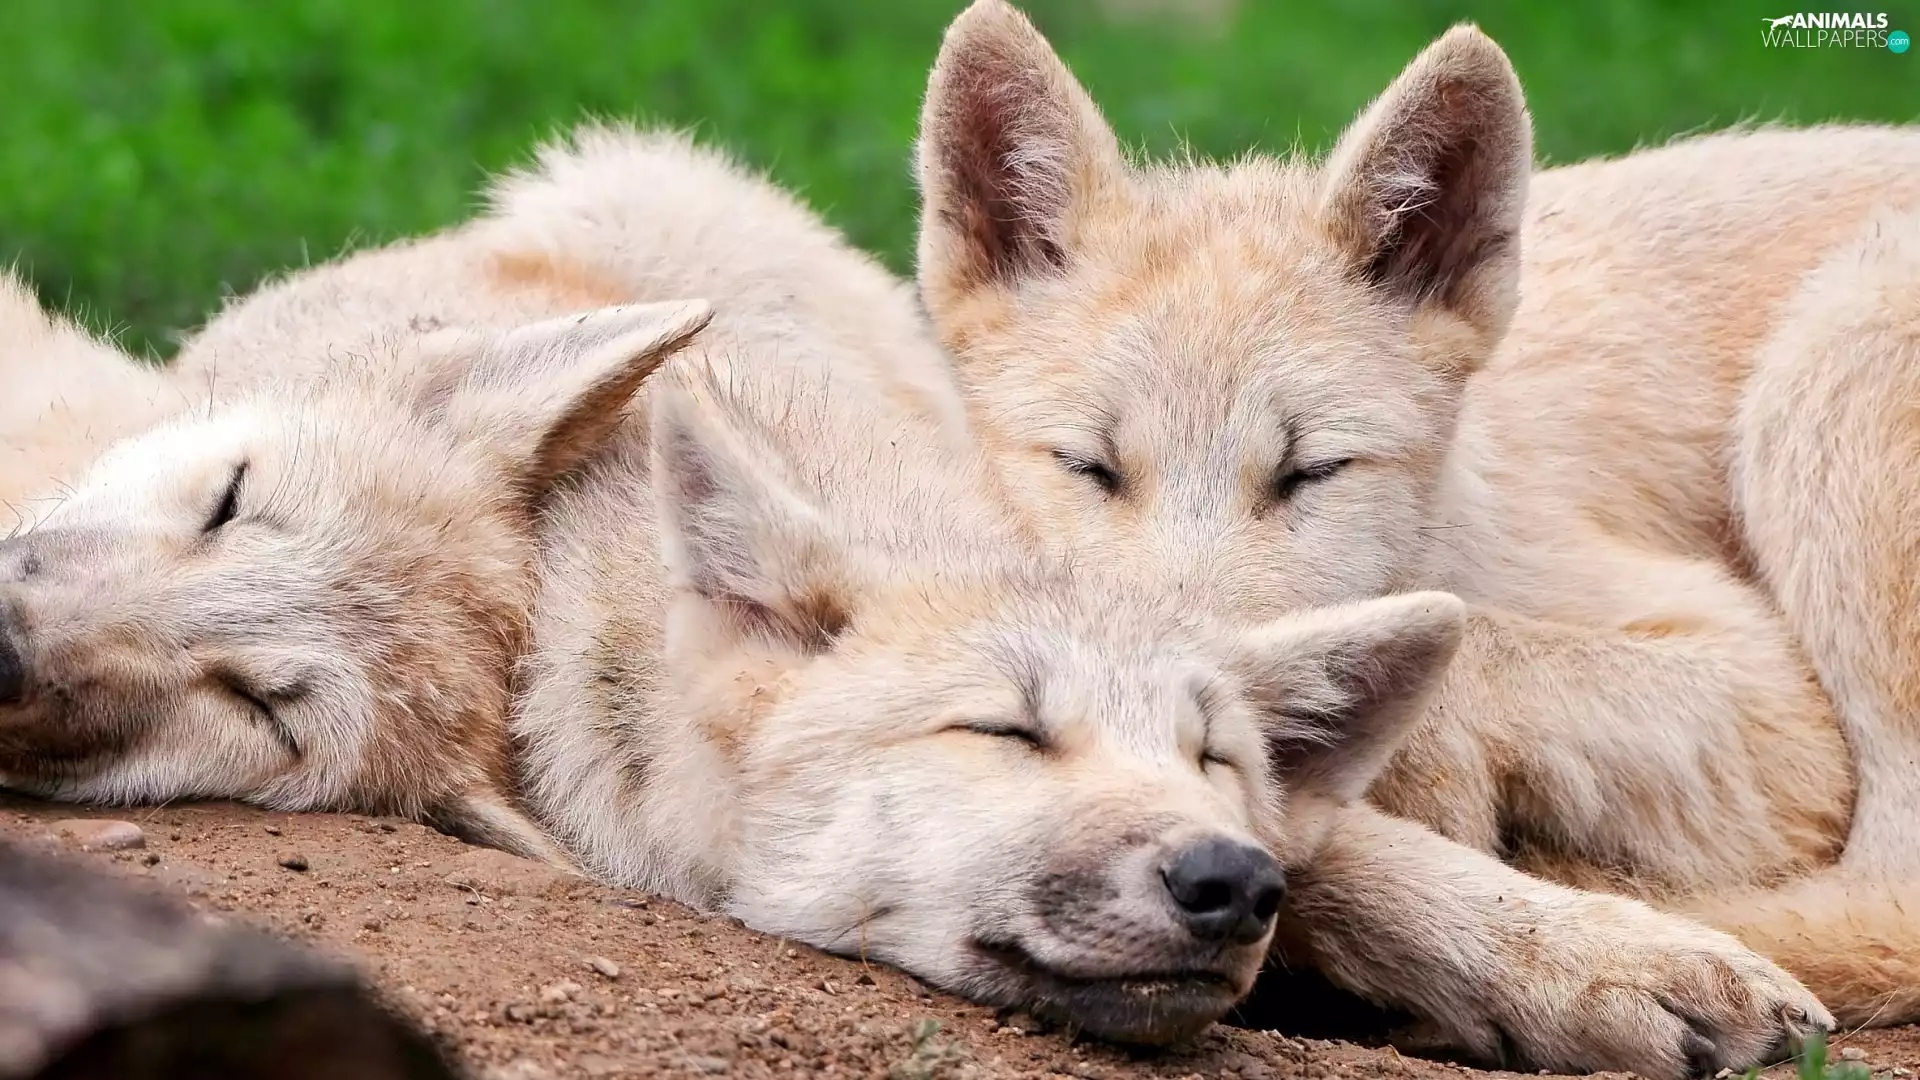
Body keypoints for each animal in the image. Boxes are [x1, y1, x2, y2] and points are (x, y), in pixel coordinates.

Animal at [913, 0, 1920, 1058]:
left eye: (1310, 473)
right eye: (1090, 469)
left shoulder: (1771, 701)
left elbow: (1461, 662)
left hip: (1836, 352)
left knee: (1889, 899)